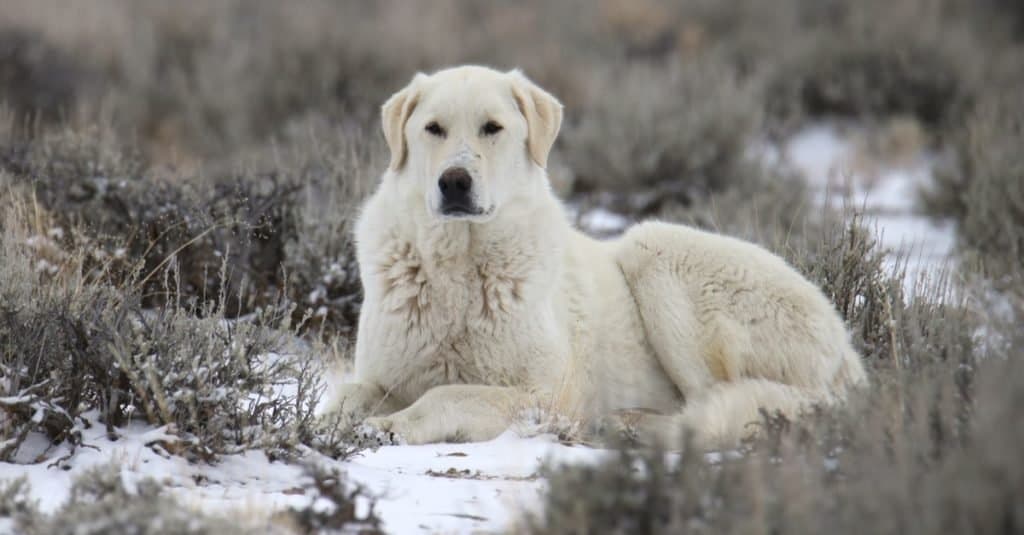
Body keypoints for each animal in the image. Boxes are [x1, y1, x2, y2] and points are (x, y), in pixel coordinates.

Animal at [323, 64, 868, 446]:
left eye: (492, 128)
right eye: (433, 128)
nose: (454, 181)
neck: (459, 265)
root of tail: (849, 355)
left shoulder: (545, 393)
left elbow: (446, 393)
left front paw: (391, 426)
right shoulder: (384, 373)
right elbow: (348, 395)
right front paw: (336, 423)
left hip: (654, 251)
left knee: (714, 410)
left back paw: (628, 427)